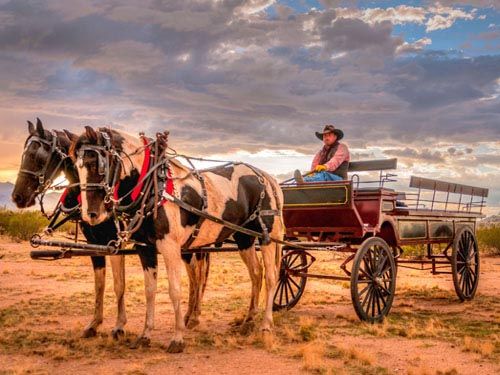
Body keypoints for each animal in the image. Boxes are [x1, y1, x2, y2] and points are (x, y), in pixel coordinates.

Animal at [10, 119, 209, 346]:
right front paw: (94, 324)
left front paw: (119, 326)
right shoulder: (95, 244)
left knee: (195, 275)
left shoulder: (114, 244)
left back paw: (192, 316)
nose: (17, 197)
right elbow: (100, 284)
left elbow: (119, 285)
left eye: (37, 156)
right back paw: (191, 315)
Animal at [73, 128, 288, 354]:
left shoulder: (170, 247)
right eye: (77, 166)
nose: (91, 214)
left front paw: (177, 337)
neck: (154, 187)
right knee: (256, 273)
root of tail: (268, 178)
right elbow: (150, 291)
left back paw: (266, 324)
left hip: (268, 236)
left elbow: (175, 290)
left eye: (97, 164)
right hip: (244, 237)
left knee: (271, 276)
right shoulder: (145, 248)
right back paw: (248, 320)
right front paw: (145, 334)